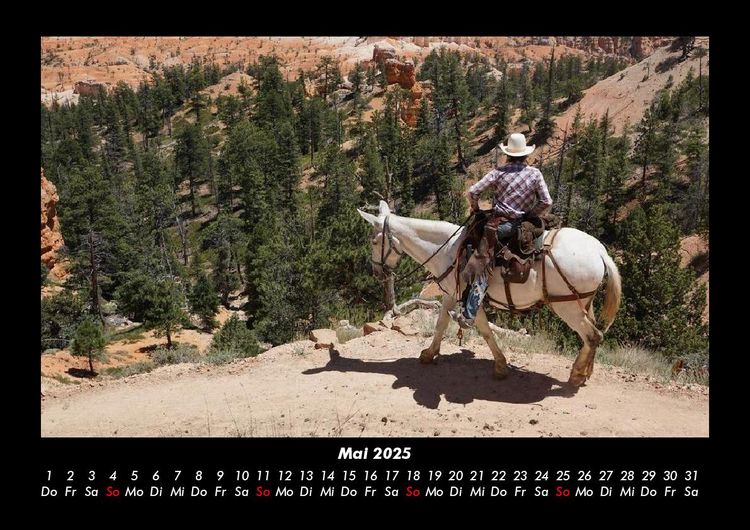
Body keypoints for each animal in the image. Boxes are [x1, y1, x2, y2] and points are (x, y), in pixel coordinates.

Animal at [357, 201, 622, 386]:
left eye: (373, 241)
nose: (377, 271)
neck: (448, 250)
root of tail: (600, 252)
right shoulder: (454, 296)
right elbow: (443, 324)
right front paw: (429, 354)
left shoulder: (468, 297)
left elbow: (481, 330)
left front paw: (500, 367)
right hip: (582, 302)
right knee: (594, 331)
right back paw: (586, 371)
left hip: (566, 308)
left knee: (592, 335)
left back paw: (576, 375)